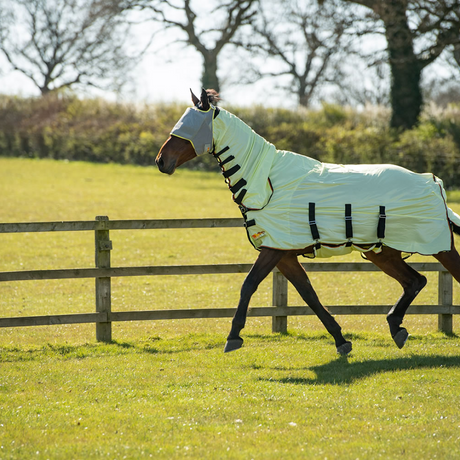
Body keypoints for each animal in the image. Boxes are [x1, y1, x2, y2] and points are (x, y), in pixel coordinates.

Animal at [156, 89, 460, 356]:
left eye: (188, 130)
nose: (161, 161)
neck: (265, 182)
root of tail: (434, 182)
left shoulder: (273, 250)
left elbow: (248, 285)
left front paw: (233, 337)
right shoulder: (284, 255)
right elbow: (308, 294)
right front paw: (341, 340)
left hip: (437, 248)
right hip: (382, 252)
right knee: (415, 281)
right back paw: (396, 327)